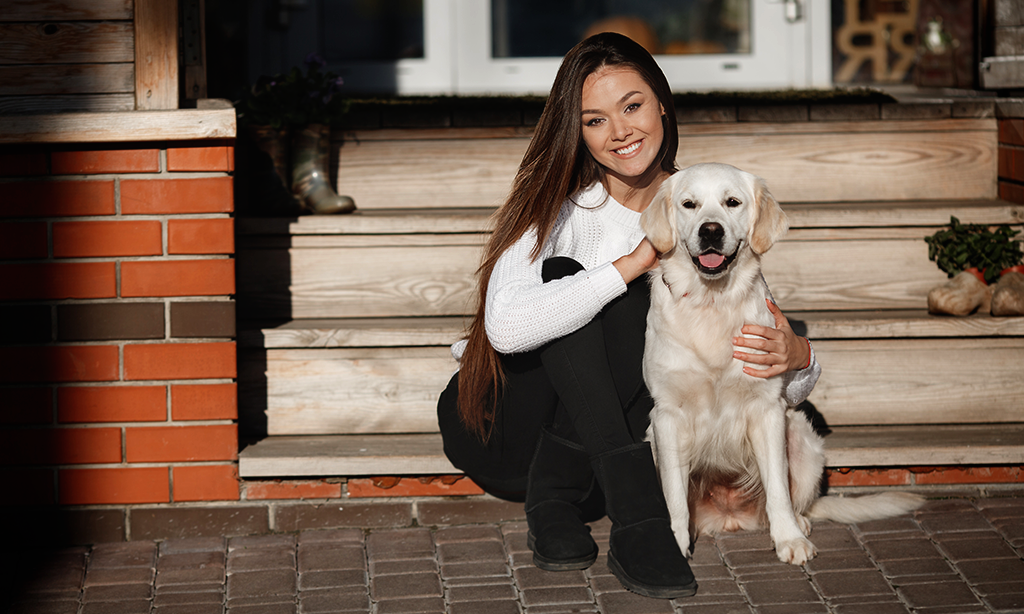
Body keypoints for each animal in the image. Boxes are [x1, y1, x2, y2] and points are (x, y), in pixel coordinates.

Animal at [638, 162, 921, 564]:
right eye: (689, 204)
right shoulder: (667, 415)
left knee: (795, 499)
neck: (713, 302)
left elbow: (777, 489)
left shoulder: (767, 409)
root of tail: (728, 518)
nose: (711, 230)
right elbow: (674, 495)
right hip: (650, 440)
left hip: (800, 434)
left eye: (732, 202)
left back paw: (798, 524)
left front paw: (788, 538)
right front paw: (674, 544)